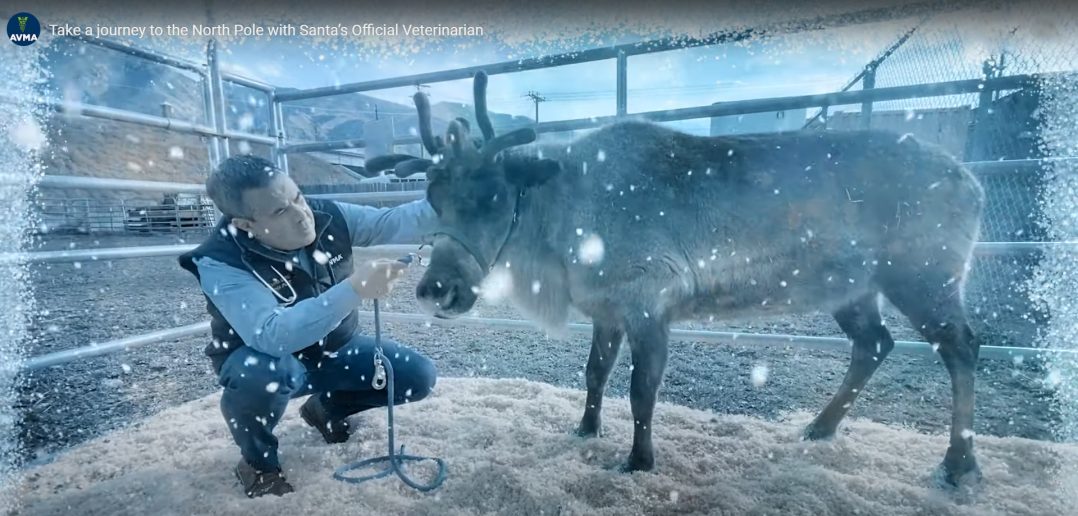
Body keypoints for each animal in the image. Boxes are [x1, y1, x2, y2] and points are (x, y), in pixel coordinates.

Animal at [367, 71, 986, 489]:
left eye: (495, 195)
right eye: (432, 196)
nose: (437, 289)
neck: (560, 224)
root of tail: (972, 179)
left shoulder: (648, 302)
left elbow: (642, 390)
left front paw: (639, 460)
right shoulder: (607, 308)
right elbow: (594, 374)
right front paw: (586, 429)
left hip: (923, 276)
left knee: (962, 346)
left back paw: (959, 465)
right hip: (852, 287)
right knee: (874, 343)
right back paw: (820, 428)